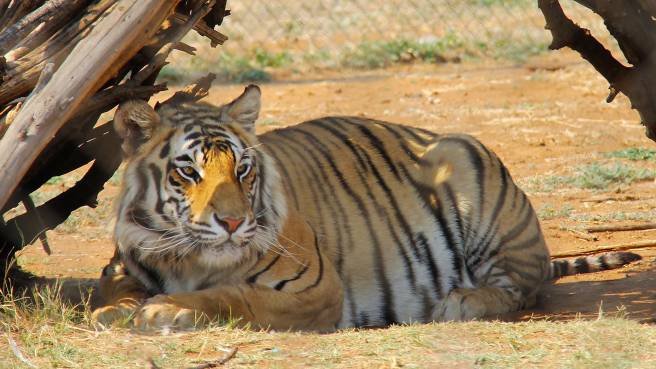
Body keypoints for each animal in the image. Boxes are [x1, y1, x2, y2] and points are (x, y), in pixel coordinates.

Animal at [91, 85, 640, 330]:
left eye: (243, 169)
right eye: (189, 171)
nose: (232, 222)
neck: (190, 259)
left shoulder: (315, 288)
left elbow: (231, 295)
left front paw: (166, 309)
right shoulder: (121, 267)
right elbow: (112, 294)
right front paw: (120, 311)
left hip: (467, 171)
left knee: (522, 290)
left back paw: (460, 301)